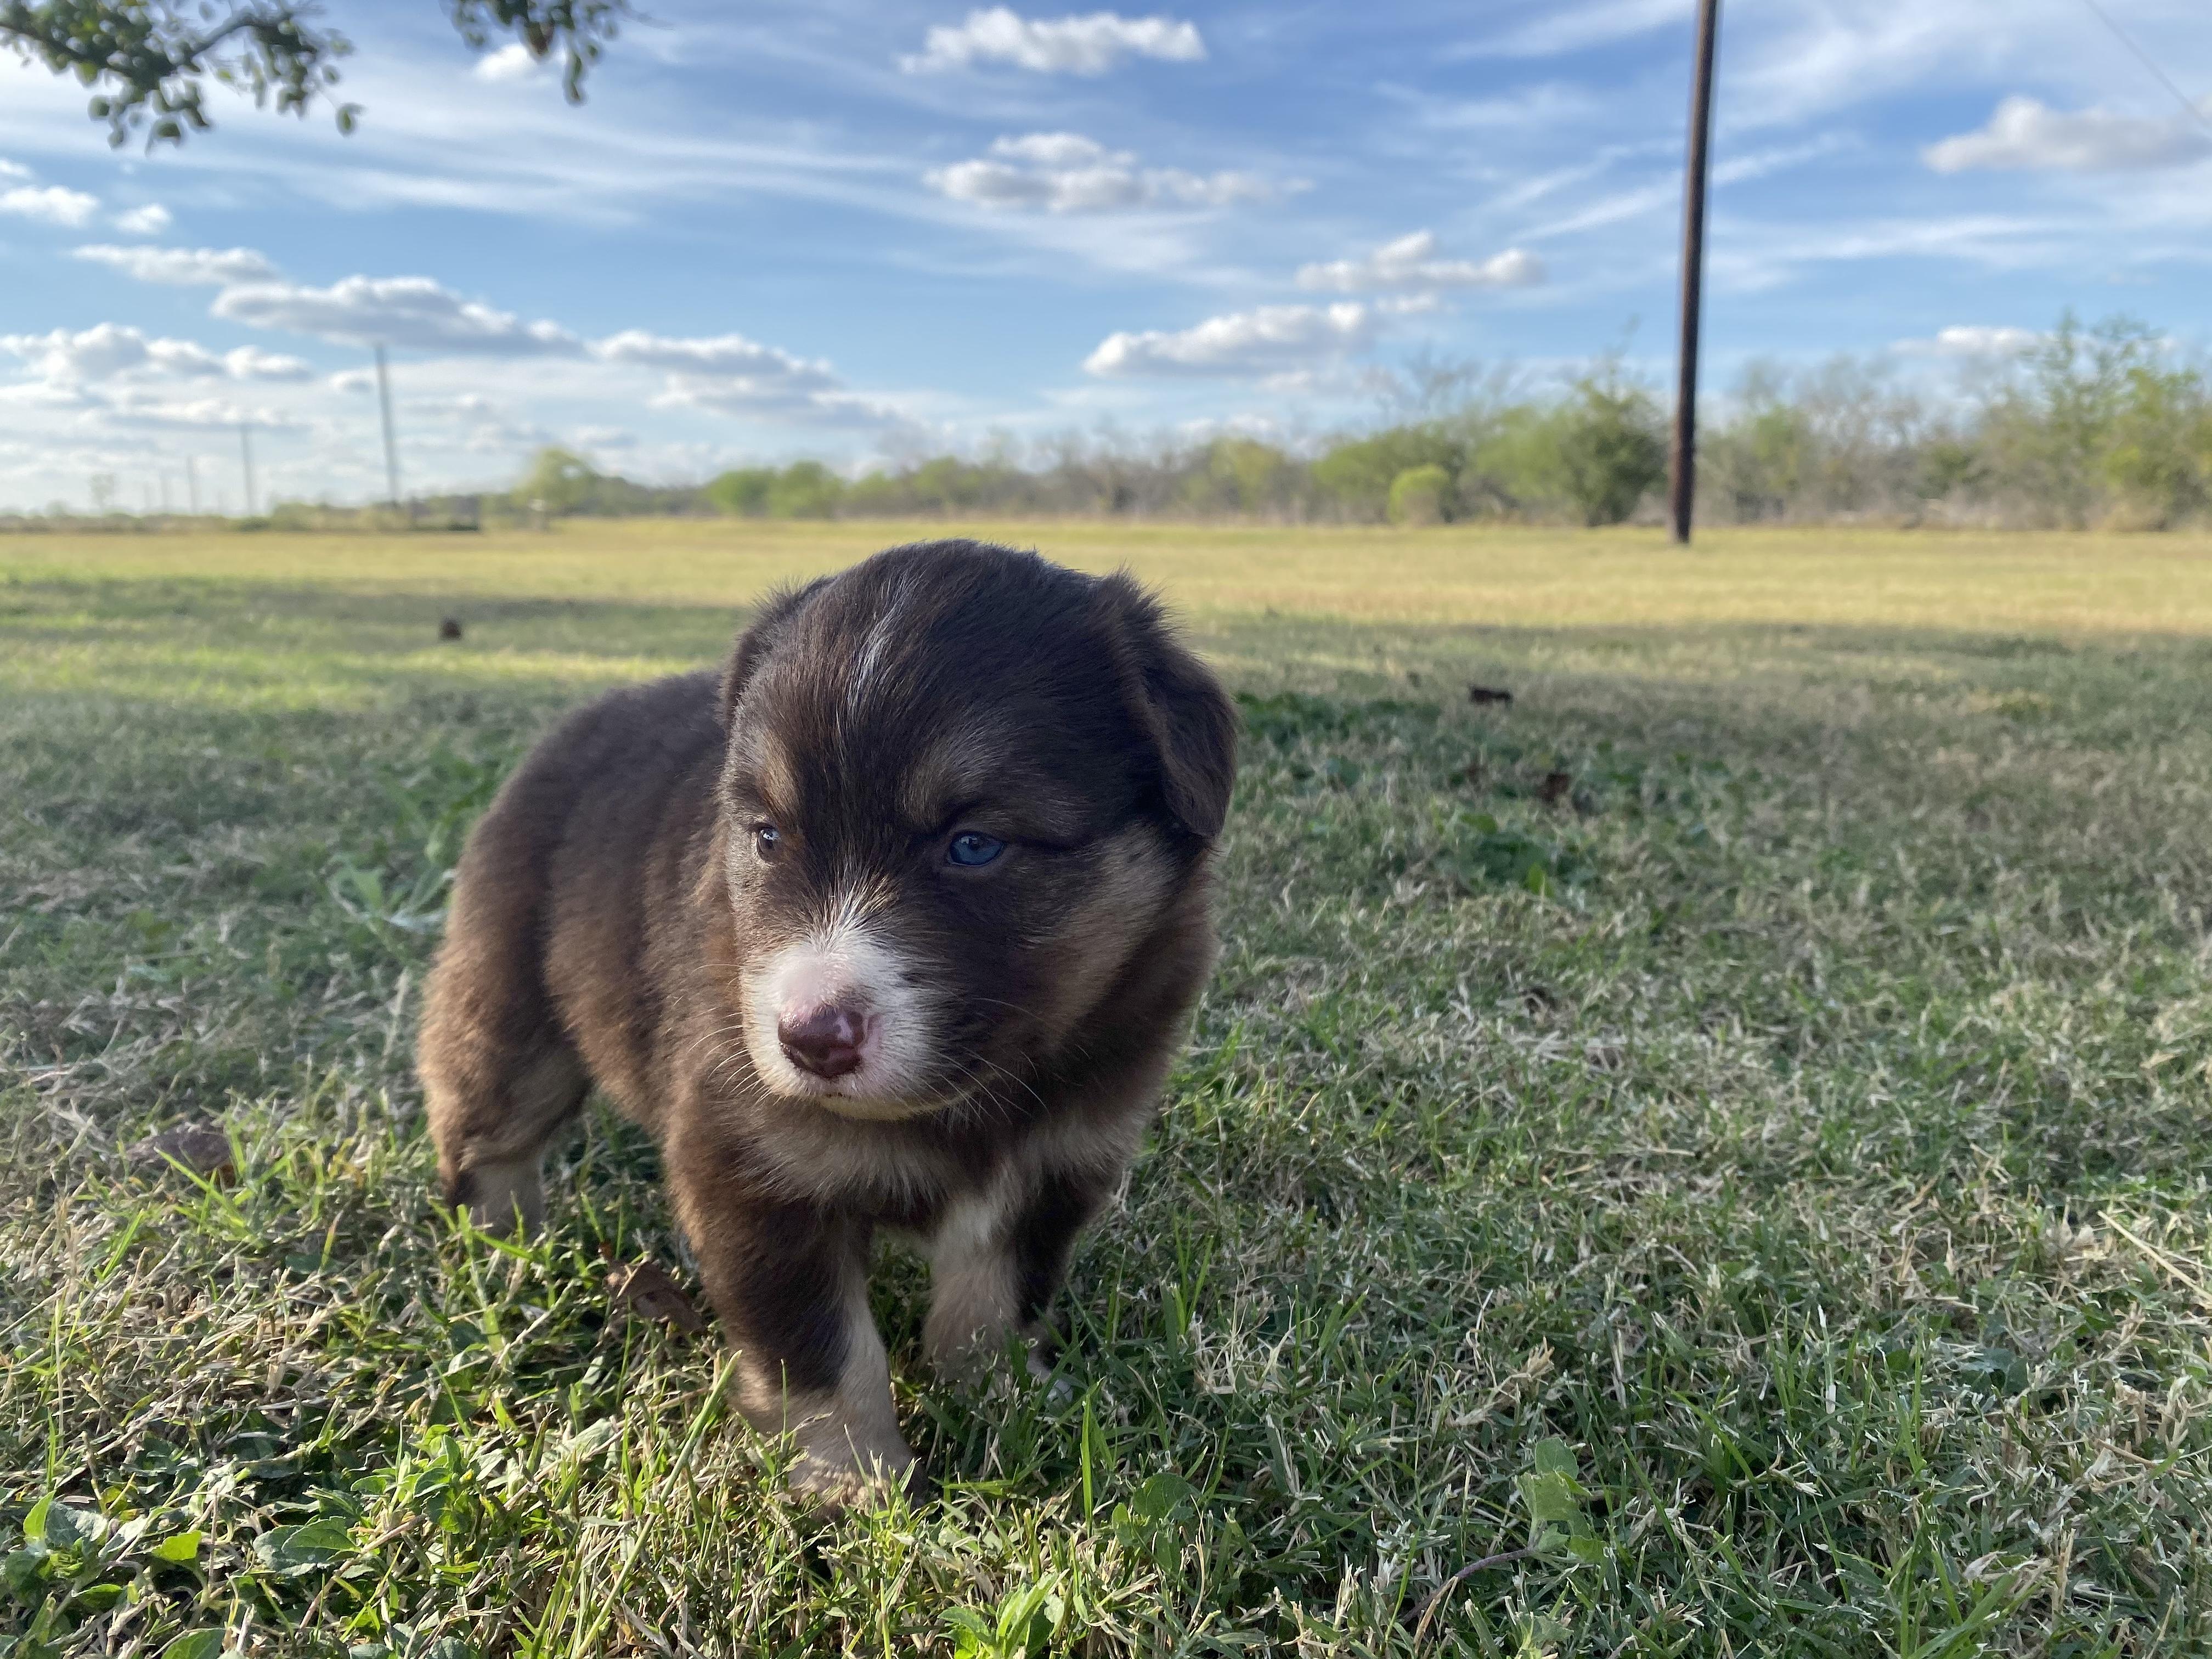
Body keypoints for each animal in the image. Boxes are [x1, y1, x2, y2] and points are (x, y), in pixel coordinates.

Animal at [418, 539, 1236, 1505]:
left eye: (974, 845)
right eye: (769, 838)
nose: (809, 1041)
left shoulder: (1058, 1158)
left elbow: (996, 1299)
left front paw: (1002, 1405)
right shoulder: (754, 1167)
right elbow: (819, 1344)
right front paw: (856, 1483)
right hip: (510, 1003)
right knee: (487, 1133)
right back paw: (505, 1253)